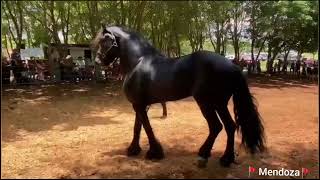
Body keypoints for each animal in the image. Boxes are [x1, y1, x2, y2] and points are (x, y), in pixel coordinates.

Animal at [92, 25, 264, 167]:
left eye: (105, 41)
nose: (97, 61)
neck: (138, 62)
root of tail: (233, 66)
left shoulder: (139, 105)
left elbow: (146, 127)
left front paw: (155, 152)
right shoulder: (141, 105)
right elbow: (138, 127)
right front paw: (134, 149)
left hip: (206, 102)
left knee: (216, 126)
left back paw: (204, 155)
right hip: (219, 104)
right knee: (230, 126)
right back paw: (226, 158)